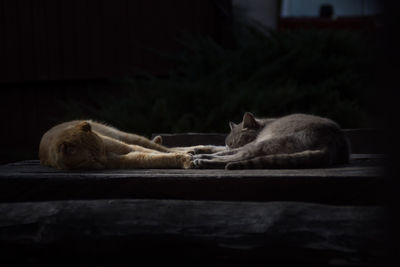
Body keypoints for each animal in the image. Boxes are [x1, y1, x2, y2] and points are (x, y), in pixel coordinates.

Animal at [39, 121, 194, 171]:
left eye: (100, 148)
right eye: (90, 159)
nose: (103, 160)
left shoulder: (126, 147)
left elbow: (156, 152)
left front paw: (187, 158)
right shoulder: (125, 159)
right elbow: (151, 157)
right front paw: (185, 159)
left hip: (128, 137)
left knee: (162, 147)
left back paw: (197, 150)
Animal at [194, 113, 350, 170]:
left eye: (235, 142)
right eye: (228, 144)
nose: (229, 147)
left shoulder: (249, 144)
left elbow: (228, 152)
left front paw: (201, 154)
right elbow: (217, 147)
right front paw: (198, 149)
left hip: (272, 141)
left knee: (240, 156)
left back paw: (203, 160)